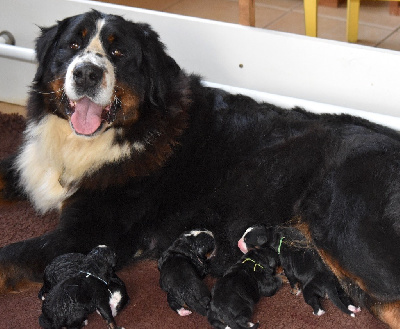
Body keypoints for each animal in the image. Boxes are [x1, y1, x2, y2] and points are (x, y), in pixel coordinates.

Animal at [0, 9, 400, 326]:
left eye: (117, 52)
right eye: (71, 46)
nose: (85, 73)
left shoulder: (85, 232)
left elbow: (10, 256)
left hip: (352, 237)